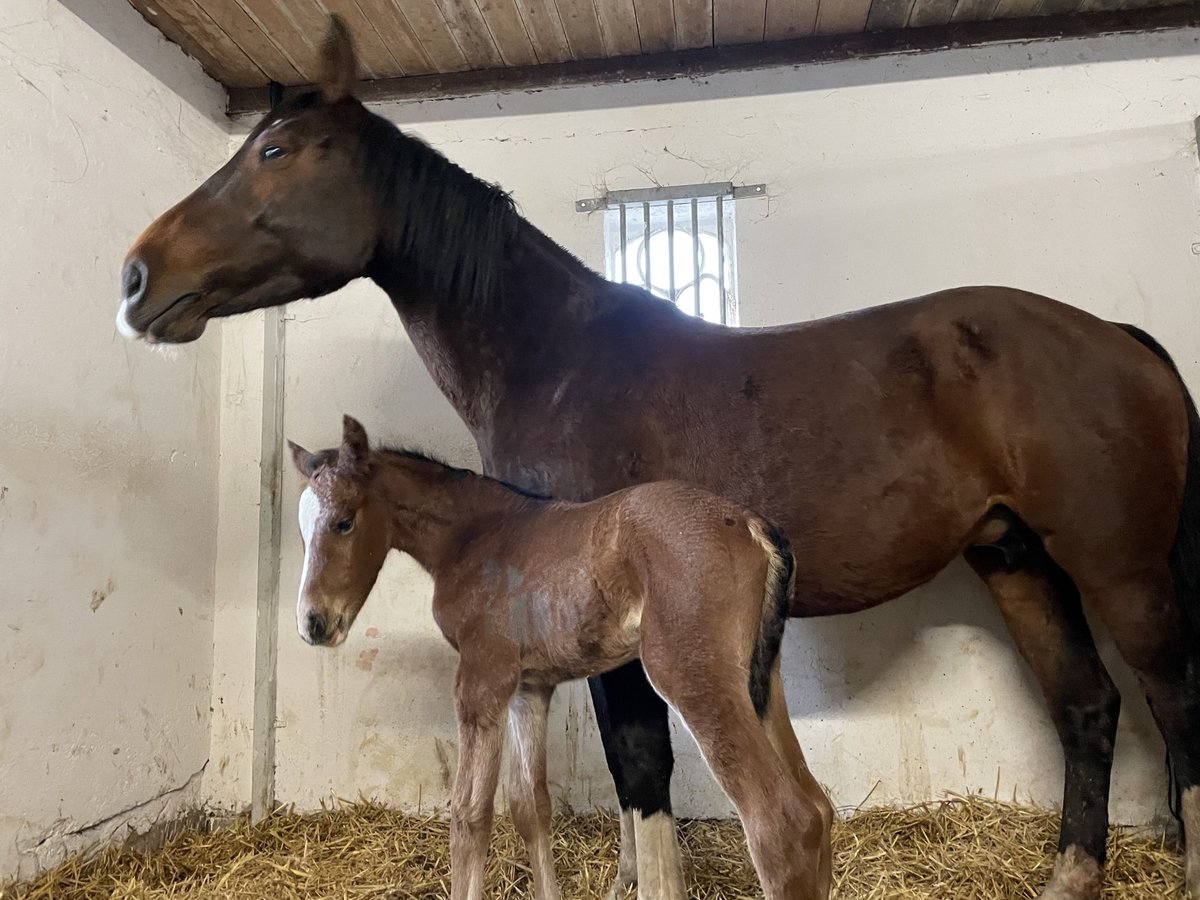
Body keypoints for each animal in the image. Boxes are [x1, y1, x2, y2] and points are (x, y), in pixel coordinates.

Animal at [290, 420, 835, 900]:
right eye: (301, 533)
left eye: (344, 521)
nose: (313, 623)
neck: (475, 536)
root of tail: (751, 524)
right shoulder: (527, 687)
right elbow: (530, 805)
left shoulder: (480, 679)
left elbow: (470, 814)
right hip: (761, 681)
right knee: (818, 808)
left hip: (693, 677)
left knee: (781, 824)